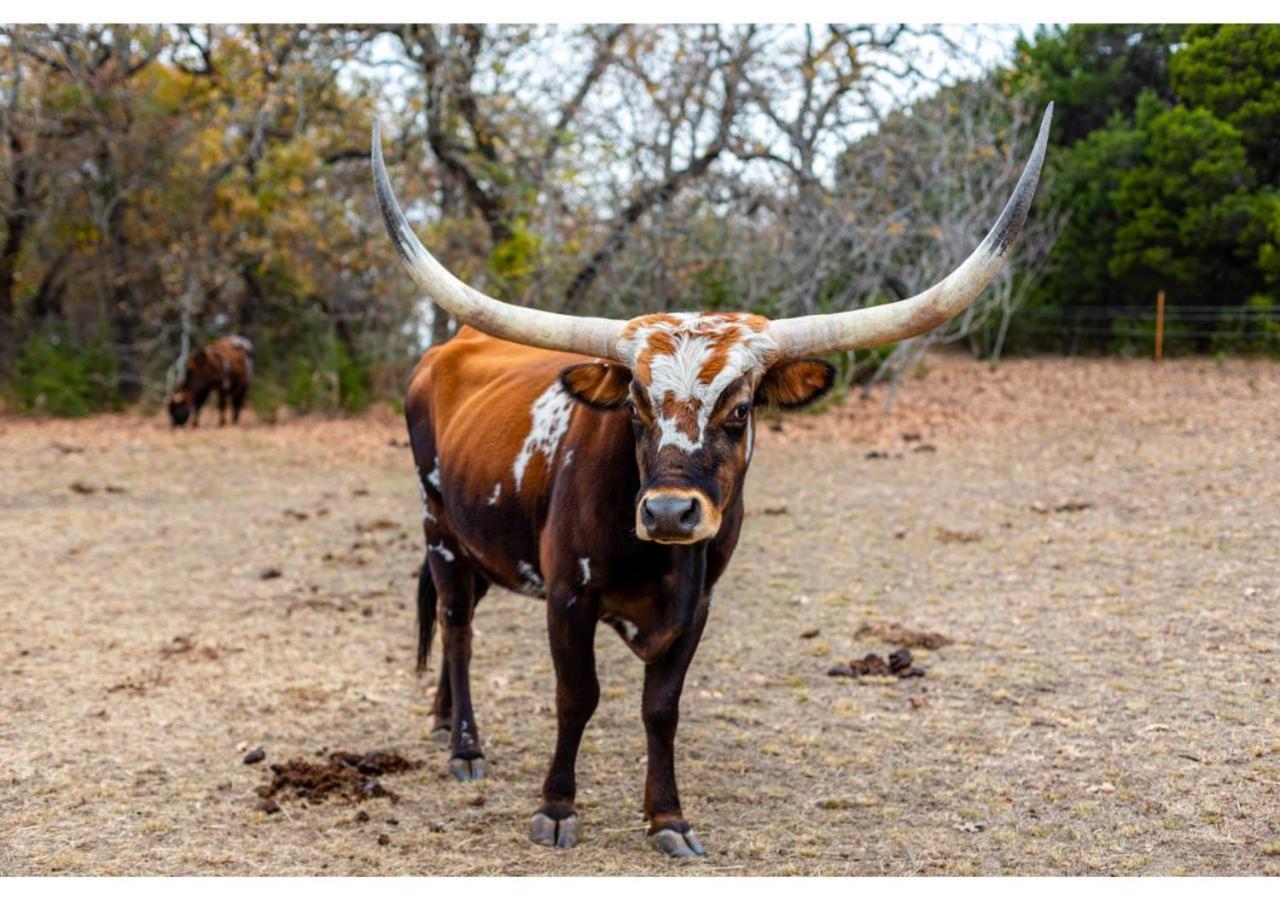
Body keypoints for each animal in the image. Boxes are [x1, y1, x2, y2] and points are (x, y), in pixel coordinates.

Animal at [371, 105, 1049, 860]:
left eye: (742, 408)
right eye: (634, 405)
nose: (670, 513)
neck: (658, 561)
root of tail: (449, 347)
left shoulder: (698, 606)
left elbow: (661, 707)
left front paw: (668, 818)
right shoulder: (568, 597)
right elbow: (577, 698)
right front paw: (556, 806)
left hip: (482, 546)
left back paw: (441, 719)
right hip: (440, 528)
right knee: (457, 626)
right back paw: (464, 746)